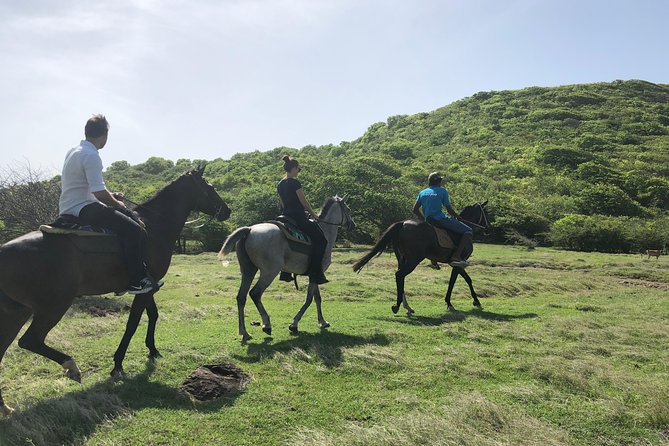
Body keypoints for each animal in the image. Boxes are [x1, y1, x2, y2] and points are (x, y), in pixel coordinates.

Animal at [0, 167, 230, 414]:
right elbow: (133, 324)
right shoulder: (145, 289)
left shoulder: (148, 286)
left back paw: (5, 407)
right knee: (30, 341)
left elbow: (153, 315)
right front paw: (118, 364)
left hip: (17, 312)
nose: (227, 211)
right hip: (54, 305)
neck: (155, 226)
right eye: (209, 187)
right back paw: (71, 366)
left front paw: (152, 350)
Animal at [219, 196, 354, 342]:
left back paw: (244, 332)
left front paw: (322, 322)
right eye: (348, 209)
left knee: (241, 297)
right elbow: (309, 299)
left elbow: (317, 298)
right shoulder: (317, 272)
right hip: (269, 272)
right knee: (255, 293)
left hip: (248, 271)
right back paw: (266, 324)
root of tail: (249, 230)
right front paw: (294, 324)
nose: (353, 224)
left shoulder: (315, 274)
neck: (325, 231)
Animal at [352, 202, 488, 314]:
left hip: (402, 258)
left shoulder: (455, 264)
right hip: (414, 260)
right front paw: (456, 303)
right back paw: (397, 306)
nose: (488, 226)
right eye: (485, 213)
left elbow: (464, 279)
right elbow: (458, 281)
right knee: (399, 275)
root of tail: (403, 223)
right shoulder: (457, 263)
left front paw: (472, 301)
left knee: (400, 277)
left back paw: (407, 306)